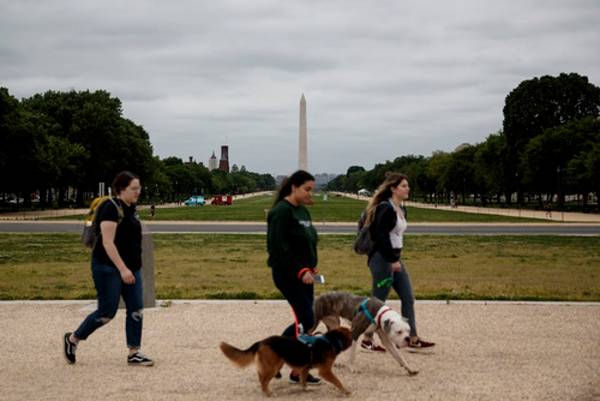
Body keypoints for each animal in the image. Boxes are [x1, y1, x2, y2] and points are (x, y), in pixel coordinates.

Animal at [219, 326, 352, 396]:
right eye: (351, 334)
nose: (355, 335)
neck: (331, 341)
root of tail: (261, 341)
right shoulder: (325, 371)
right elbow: (337, 381)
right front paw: (345, 391)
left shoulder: (305, 368)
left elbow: (303, 380)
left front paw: (305, 389)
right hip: (272, 367)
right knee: (263, 381)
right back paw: (268, 393)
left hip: (276, 364)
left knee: (260, 376)